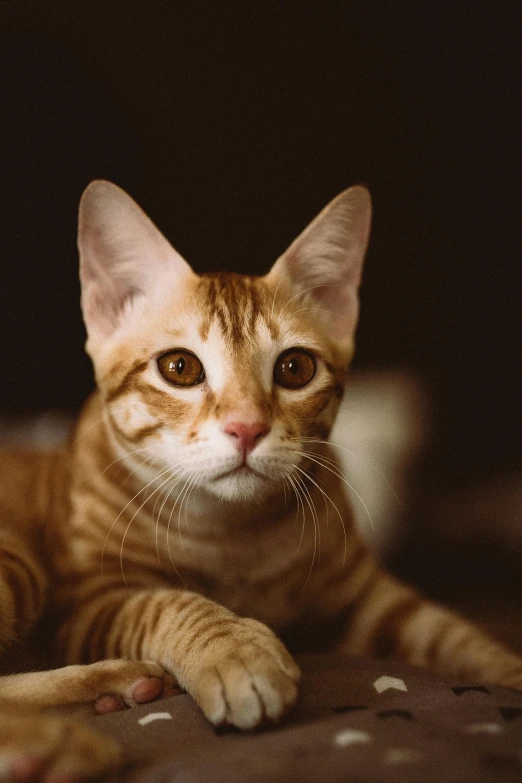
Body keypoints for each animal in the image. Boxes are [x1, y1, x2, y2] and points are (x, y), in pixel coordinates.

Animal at [1, 181, 520, 780]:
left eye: (295, 368)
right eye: (180, 368)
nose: (246, 427)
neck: (236, 536)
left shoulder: (372, 601)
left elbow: (458, 637)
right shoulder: (85, 603)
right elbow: (166, 602)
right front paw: (235, 651)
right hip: (19, 565)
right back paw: (71, 732)